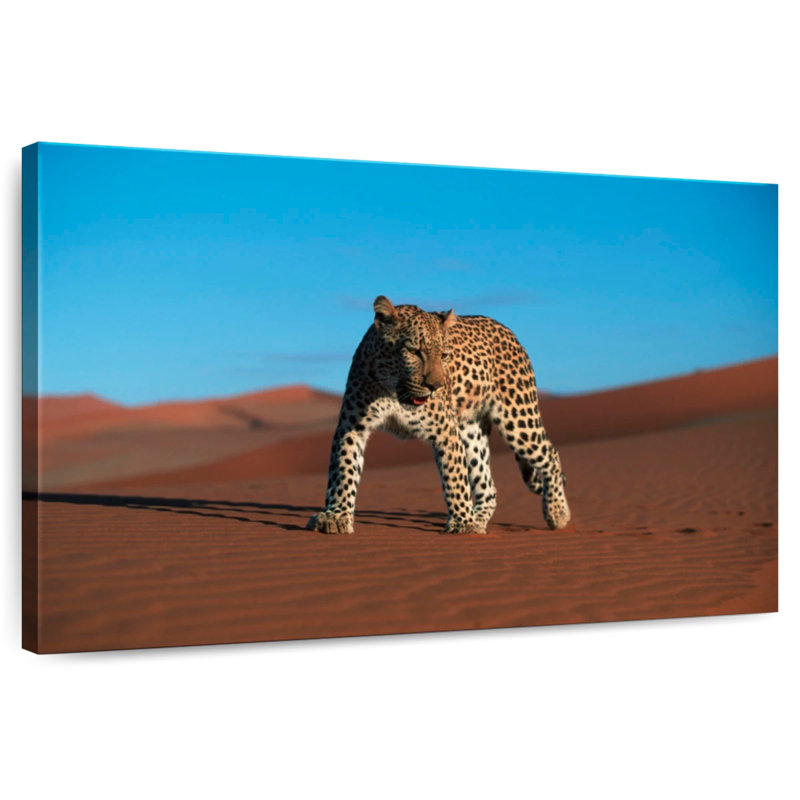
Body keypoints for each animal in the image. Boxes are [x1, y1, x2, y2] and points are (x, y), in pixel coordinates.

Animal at [306, 295, 571, 535]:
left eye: (444, 355)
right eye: (414, 351)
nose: (435, 386)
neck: (394, 392)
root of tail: (507, 330)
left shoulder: (445, 431)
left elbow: (455, 477)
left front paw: (462, 523)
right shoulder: (352, 427)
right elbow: (343, 471)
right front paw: (336, 516)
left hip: (517, 418)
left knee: (551, 455)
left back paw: (557, 512)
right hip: (471, 429)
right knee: (487, 486)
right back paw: (479, 521)